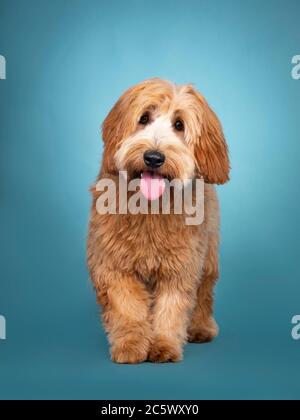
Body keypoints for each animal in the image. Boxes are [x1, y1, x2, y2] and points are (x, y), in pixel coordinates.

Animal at [86, 79, 230, 364]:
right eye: (143, 118)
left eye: (179, 124)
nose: (153, 157)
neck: (151, 207)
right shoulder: (113, 266)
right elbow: (127, 307)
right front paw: (131, 345)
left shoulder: (180, 268)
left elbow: (170, 310)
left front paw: (163, 345)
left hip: (208, 255)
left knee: (205, 291)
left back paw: (201, 328)